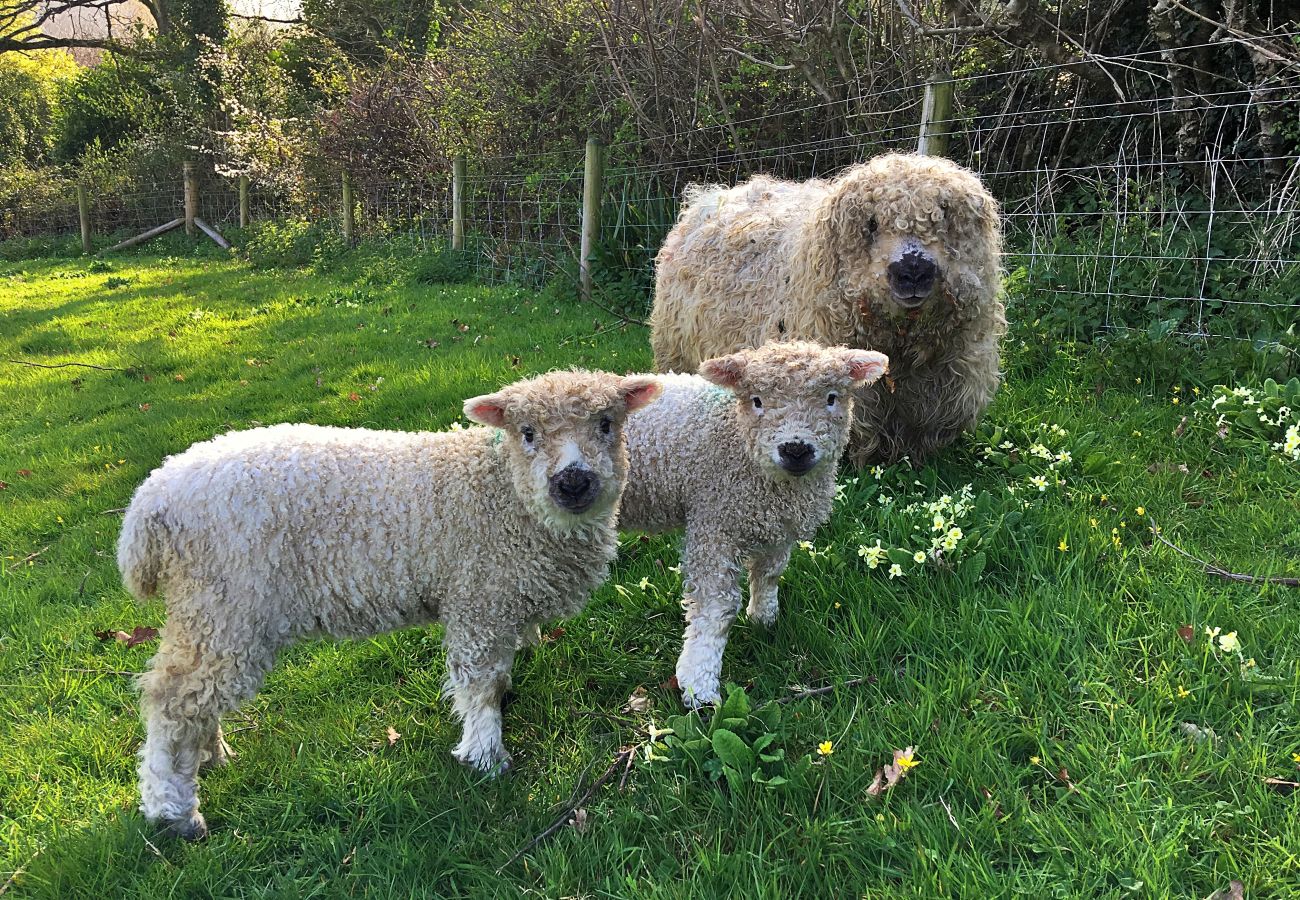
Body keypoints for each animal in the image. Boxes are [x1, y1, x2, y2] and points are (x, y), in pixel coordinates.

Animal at [114, 369, 660, 842]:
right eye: (527, 432)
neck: (500, 493)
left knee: (196, 696)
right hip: (226, 602)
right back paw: (173, 810)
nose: (573, 481)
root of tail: (149, 504)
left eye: (606, 423)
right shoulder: (476, 598)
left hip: (208, 614)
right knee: (171, 701)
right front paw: (486, 755)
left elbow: (500, 674)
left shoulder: (499, 599)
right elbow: (481, 683)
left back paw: (208, 755)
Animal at [616, 340, 883, 707]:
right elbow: (717, 608)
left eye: (831, 397)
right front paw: (699, 683)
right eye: (757, 400)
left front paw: (763, 618)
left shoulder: (777, 524)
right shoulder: (713, 522)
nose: (795, 449)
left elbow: (769, 573)